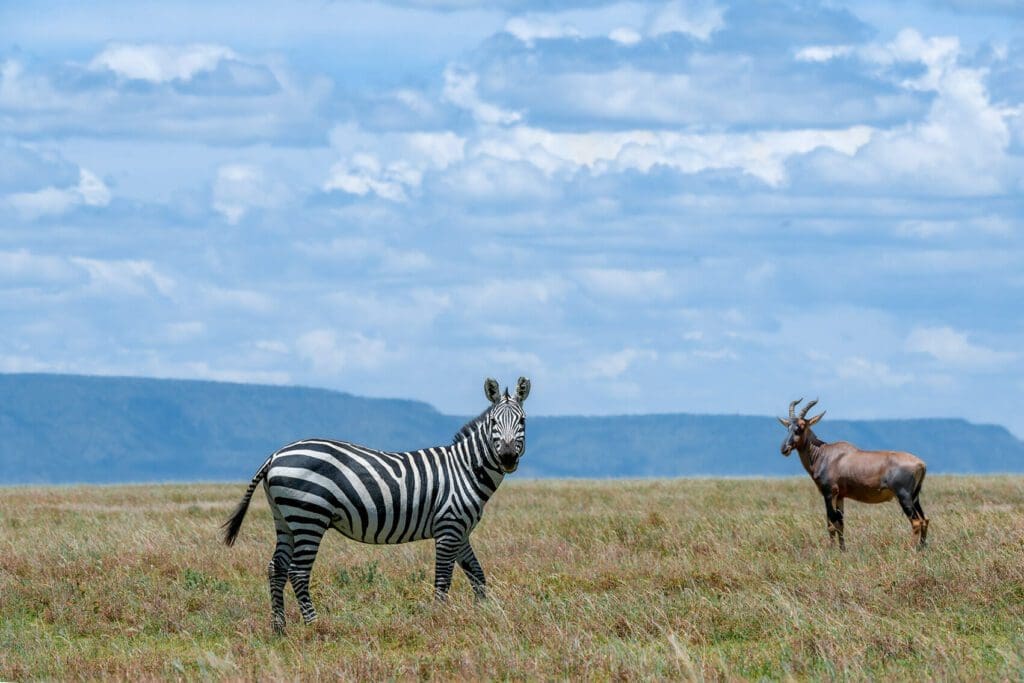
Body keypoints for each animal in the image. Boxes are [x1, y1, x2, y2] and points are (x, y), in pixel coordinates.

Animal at [222, 376, 528, 634]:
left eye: (522, 421)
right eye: (494, 422)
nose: (508, 456)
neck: (465, 469)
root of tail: (275, 455)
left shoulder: (461, 531)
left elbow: (478, 575)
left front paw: (483, 613)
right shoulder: (449, 527)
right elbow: (443, 579)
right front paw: (439, 619)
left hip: (284, 519)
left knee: (276, 568)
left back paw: (279, 627)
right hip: (309, 517)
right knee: (297, 571)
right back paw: (315, 625)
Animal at [778, 401, 933, 548]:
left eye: (801, 426)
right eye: (788, 426)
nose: (785, 449)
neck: (825, 454)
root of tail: (921, 464)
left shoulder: (829, 493)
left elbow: (831, 523)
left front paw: (831, 550)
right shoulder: (840, 496)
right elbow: (840, 524)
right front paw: (842, 550)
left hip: (903, 496)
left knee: (916, 522)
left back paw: (911, 548)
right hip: (914, 497)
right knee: (924, 520)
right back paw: (922, 548)